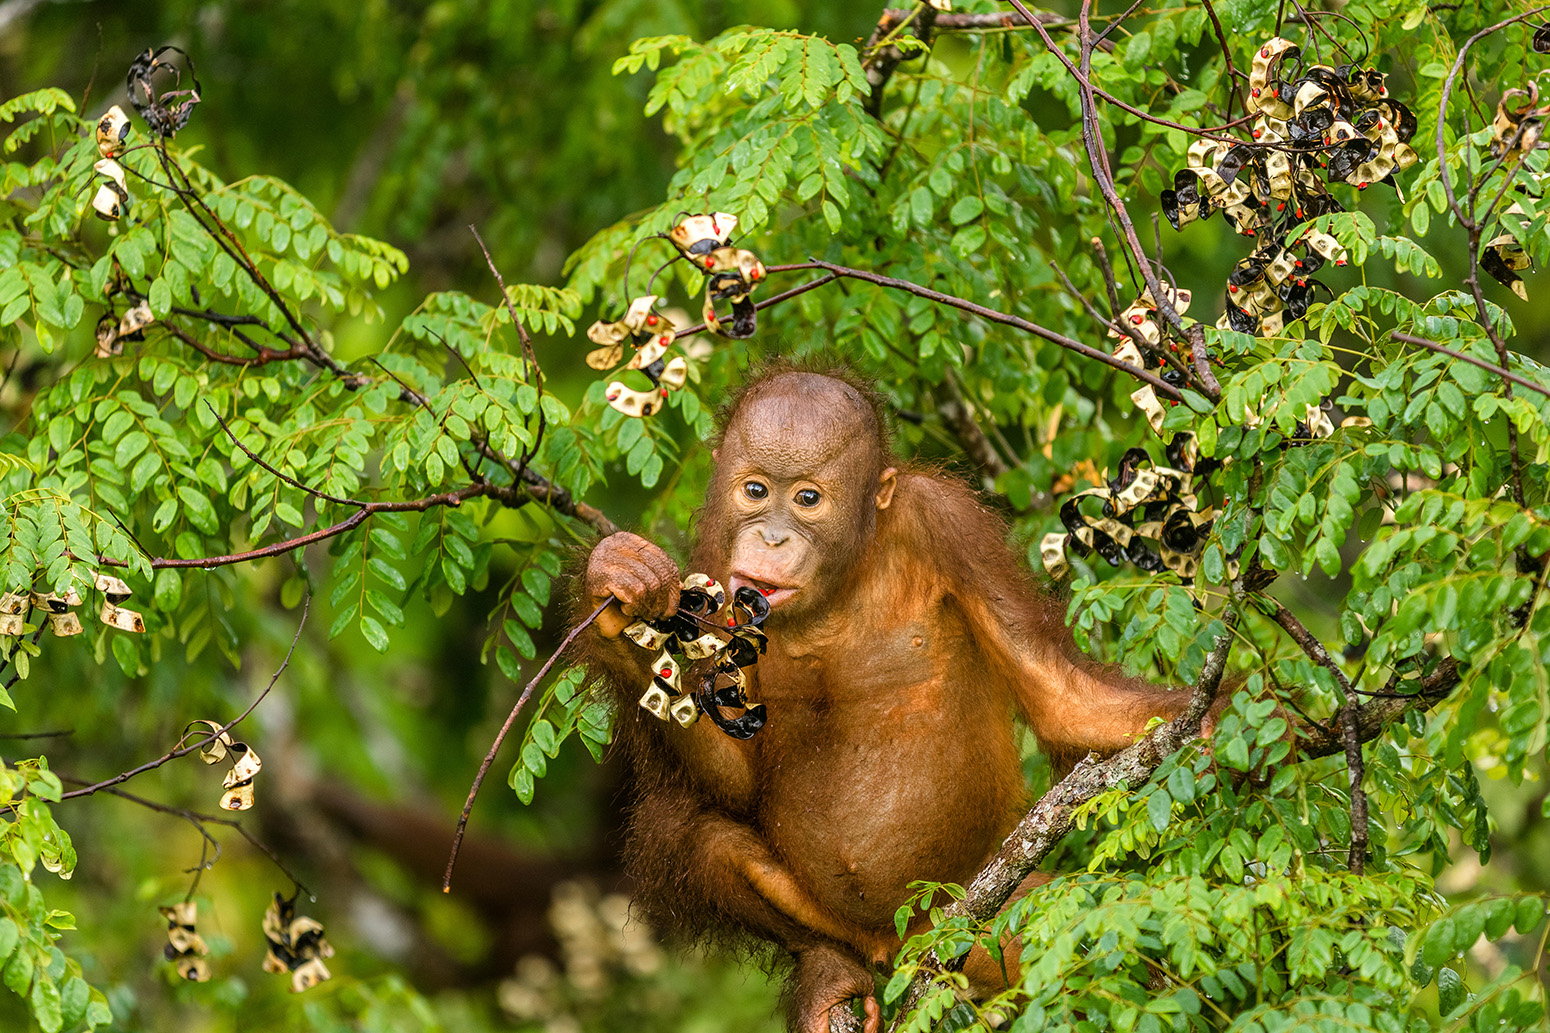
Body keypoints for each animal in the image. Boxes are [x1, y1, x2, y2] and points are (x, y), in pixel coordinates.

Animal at [580, 367, 1226, 1033]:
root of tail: (907, 943)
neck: (838, 583)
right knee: (683, 831)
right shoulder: (714, 559)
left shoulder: (947, 522)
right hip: (850, 926)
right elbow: (737, 780)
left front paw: (1214, 723)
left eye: (807, 499)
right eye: (755, 490)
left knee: (1091, 925)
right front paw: (617, 590)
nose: (771, 536)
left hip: (992, 918)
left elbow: (1057, 690)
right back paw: (826, 971)